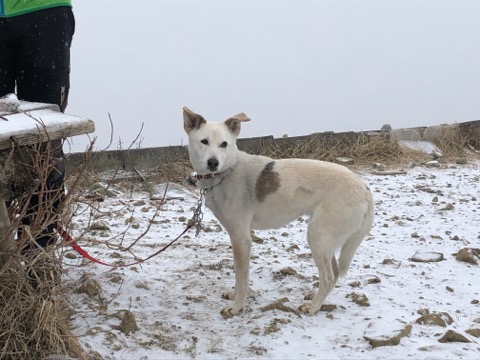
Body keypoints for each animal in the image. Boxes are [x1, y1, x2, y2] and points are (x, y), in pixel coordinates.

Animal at [182, 107, 374, 318]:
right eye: (204, 141)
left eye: (224, 144)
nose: (213, 162)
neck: (226, 172)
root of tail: (364, 189)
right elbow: (240, 275)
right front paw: (235, 295)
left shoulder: (241, 238)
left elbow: (242, 276)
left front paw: (237, 305)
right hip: (326, 240)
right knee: (335, 271)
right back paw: (316, 298)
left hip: (318, 236)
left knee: (329, 276)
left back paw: (313, 306)